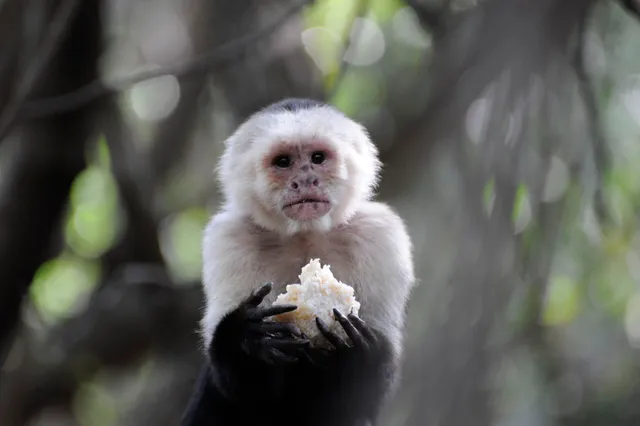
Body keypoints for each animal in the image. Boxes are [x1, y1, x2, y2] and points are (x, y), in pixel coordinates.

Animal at [180, 98, 416, 426]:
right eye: (283, 162)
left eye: (317, 158)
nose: (305, 180)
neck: (306, 234)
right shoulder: (228, 239)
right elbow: (234, 383)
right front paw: (246, 337)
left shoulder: (380, 235)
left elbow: (369, 391)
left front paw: (358, 352)